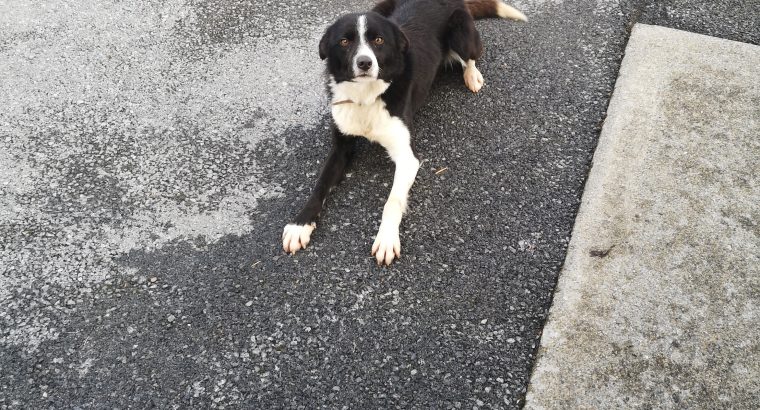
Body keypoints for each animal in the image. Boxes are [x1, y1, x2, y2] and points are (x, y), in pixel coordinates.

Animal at [282, 0, 524, 264]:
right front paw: (300, 224)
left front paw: (387, 238)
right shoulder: (340, 147)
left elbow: (393, 201)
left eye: (378, 40)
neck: (366, 96)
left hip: (462, 33)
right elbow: (320, 184)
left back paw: (472, 75)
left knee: (471, 56)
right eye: (344, 42)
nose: (365, 63)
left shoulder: (408, 157)